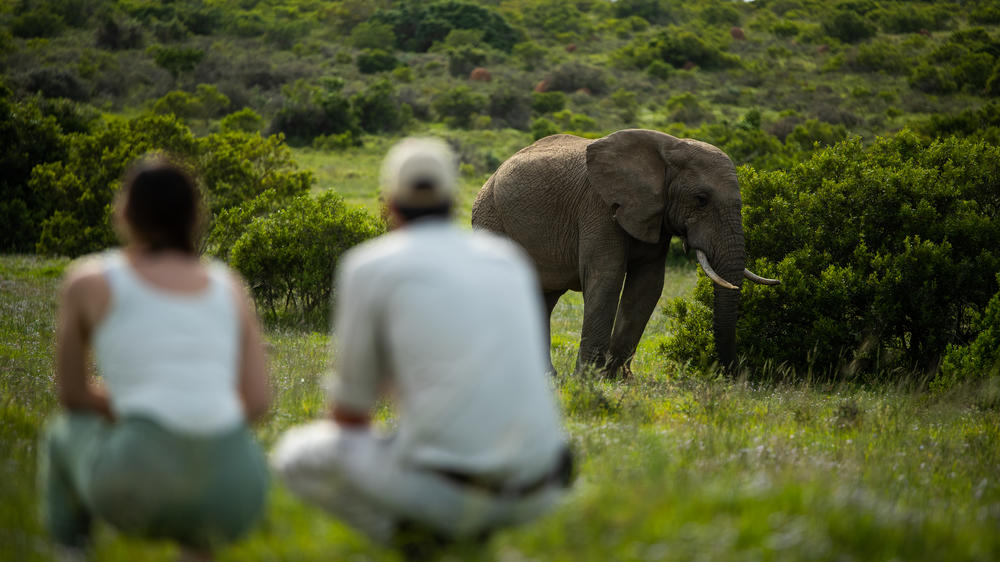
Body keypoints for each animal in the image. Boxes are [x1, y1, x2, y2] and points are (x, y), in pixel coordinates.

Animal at [470, 129, 778, 377]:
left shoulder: (655, 216)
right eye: (701, 200)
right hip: (490, 216)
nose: (734, 374)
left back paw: (547, 377)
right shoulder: (599, 207)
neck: (668, 148)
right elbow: (606, 277)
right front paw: (588, 380)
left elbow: (648, 285)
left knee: (542, 299)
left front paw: (616, 379)